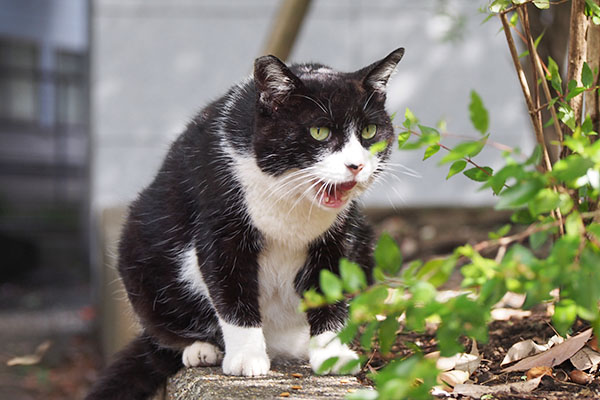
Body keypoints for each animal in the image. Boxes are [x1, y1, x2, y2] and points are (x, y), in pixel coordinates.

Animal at [85, 48, 404, 398]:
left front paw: (333, 355)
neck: (291, 198)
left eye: (369, 132)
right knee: (164, 330)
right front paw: (246, 360)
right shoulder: (221, 225)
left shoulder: (337, 236)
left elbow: (331, 288)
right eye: (319, 132)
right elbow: (232, 293)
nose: (356, 165)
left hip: (365, 238)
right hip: (139, 246)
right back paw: (200, 350)